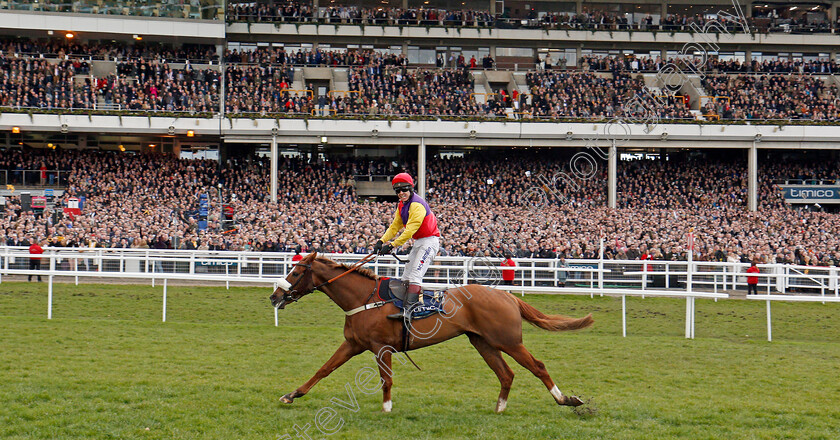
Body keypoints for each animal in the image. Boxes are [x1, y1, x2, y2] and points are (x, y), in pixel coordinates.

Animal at [268, 253, 592, 414]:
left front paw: (386, 408)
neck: (363, 298)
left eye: (295, 272)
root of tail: (508, 296)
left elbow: (386, 379)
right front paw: (292, 395)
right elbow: (324, 369)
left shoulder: (381, 347)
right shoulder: (353, 344)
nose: (274, 296)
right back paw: (499, 408)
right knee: (506, 374)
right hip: (483, 342)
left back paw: (566, 400)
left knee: (538, 366)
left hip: (508, 340)